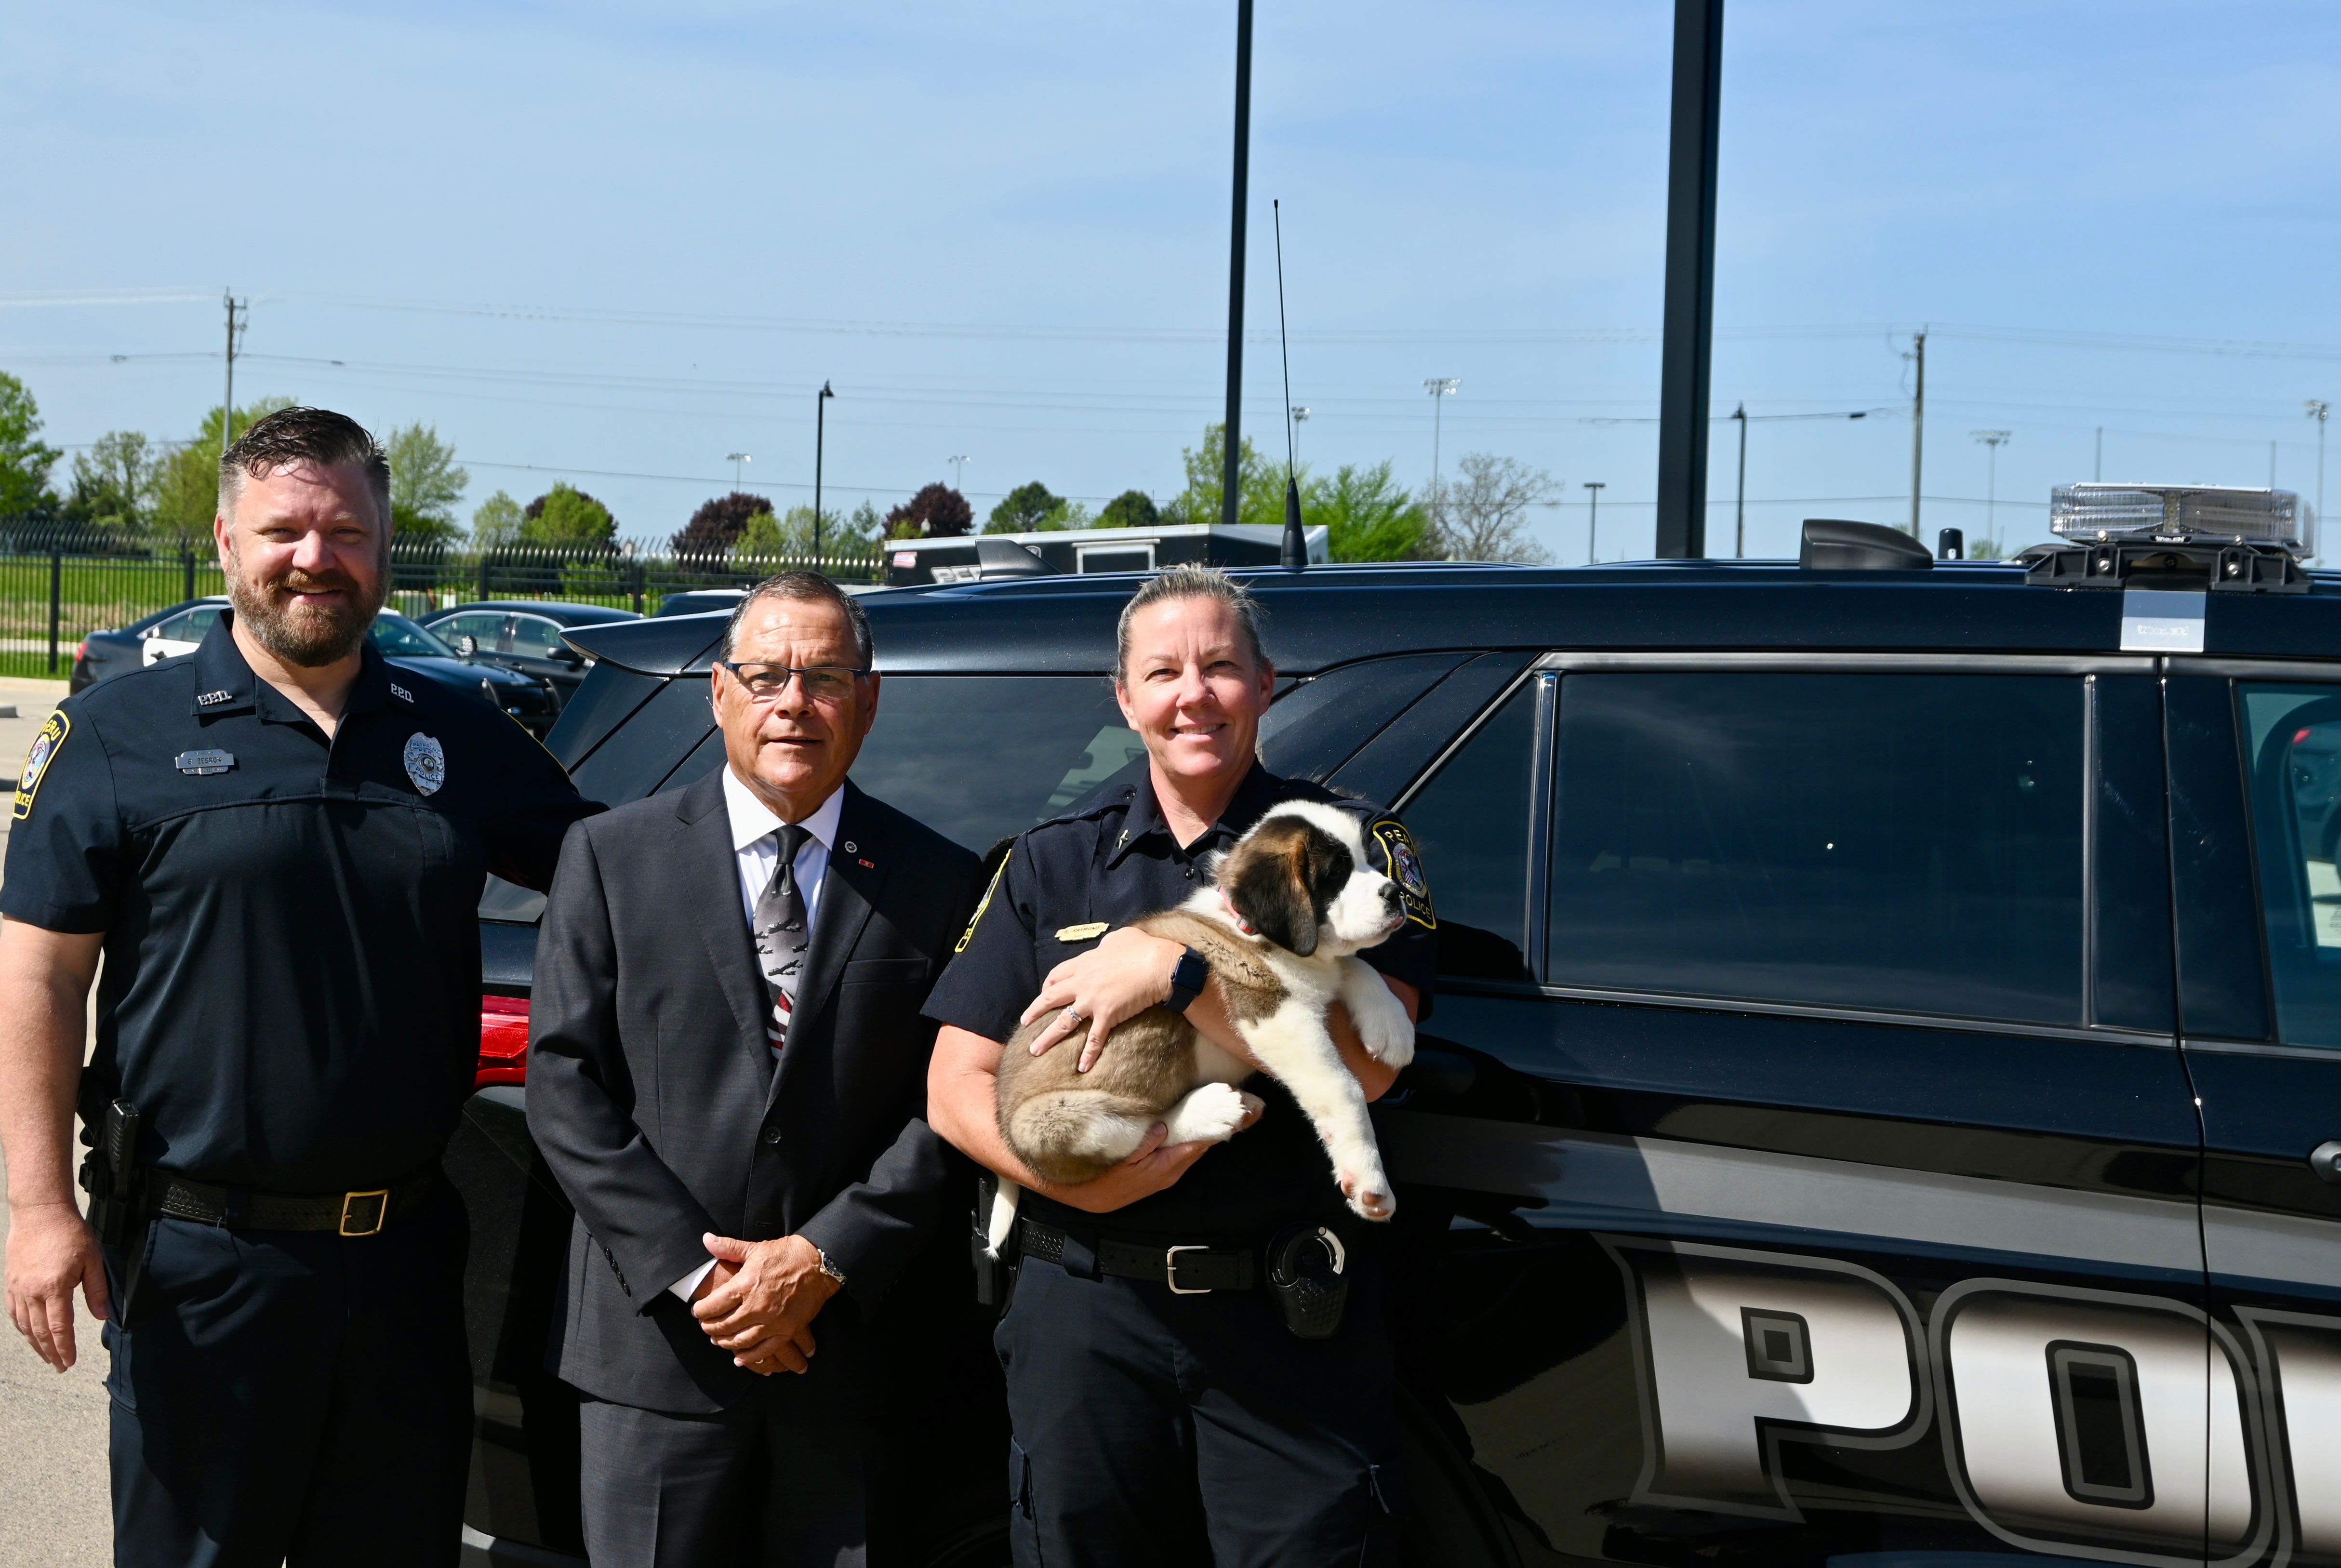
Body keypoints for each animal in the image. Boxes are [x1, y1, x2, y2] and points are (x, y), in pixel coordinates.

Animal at [983, 805, 1414, 1263]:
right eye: (1336, 872)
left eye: (1365, 859)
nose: (1395, 893)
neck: (1250, 929)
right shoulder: (1273, 1013)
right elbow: (1343, 1087)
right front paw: (1369, 1181)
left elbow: (1354, 965)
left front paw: (1392, 1025)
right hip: (1048, 1123)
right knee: (1142, 1134)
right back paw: (1213, 1111)